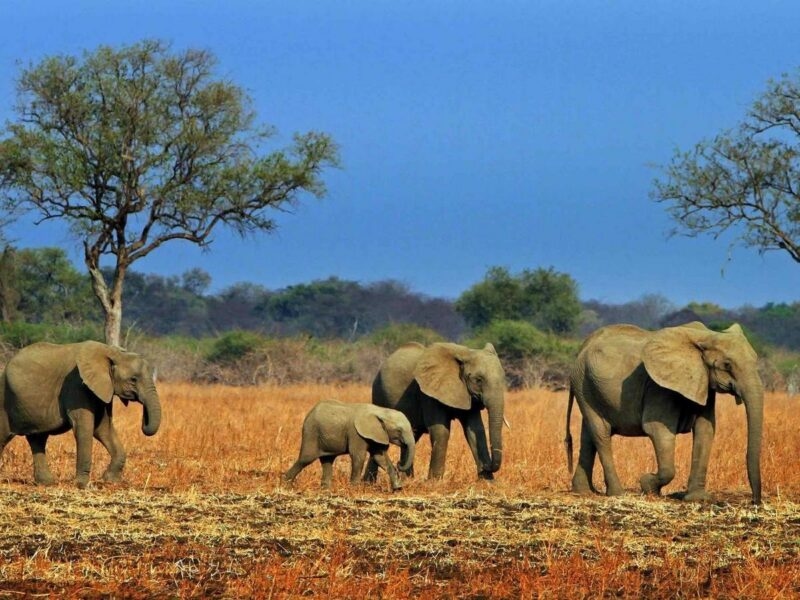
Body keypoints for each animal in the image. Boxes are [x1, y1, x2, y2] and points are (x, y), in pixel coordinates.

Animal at [0, 340, 162, 488]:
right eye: (133, 379)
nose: (144, 417)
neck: (112, 352)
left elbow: (103, 429)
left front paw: (110, 480)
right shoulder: (76, 386)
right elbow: (84, 429)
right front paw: (82, 485)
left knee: (37, 438)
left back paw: (46, 483)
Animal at [283, 400, 416, 490]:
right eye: (398, 430)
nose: (399, 463)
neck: (380, 411)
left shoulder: (378, 434)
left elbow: (380, 457)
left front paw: (397, 488)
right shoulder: (356, 433)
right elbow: (358, 456)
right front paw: (355, 488)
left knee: (327, 460)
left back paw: (325, 489)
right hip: (311, 432)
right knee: (306, 459)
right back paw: (285, 484)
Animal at [365, 342, 506, 481]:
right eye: (478, 380)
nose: (487, 466)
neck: (465, 353)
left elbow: (476, 430)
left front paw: (488, 482)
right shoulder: (428, 393)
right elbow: (441, 431)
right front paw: (435, 482)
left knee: (410, 439)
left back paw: (406, 479)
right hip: (378, 394)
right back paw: (369, 483)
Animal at [565, 322, 763, 504]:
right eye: (727, 365)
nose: (755, 501)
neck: (705, 336)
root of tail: (583, 346)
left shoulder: (703, 382)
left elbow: (706, 429)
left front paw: (697, 498)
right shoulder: (658, 388)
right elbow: (658, 429)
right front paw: (646, 484)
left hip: (588, 386)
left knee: (588, 435)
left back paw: (583, 492)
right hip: (584, 383)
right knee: (601, 433)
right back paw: (617, 494)